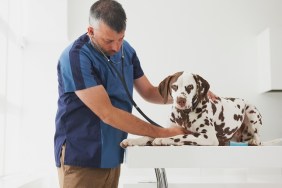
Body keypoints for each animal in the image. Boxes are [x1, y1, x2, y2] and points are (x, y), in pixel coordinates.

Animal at [120, 71, 268, 148]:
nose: (181, 100)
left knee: (258, 137)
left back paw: (254, 141)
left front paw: (163, 140)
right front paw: (133, 140)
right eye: (174, 86)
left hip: (251, 111)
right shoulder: (170, 128)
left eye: (190, 87)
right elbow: (150, 135)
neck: (184, 115)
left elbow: (180, 136)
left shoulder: (208, 137)